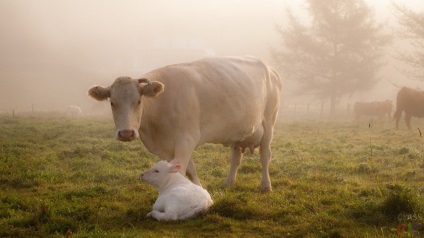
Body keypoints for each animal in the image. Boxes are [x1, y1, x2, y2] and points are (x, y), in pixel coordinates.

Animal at [88, 56, 284, 192]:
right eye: (112, 102)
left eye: (139, 101)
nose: (126, 133)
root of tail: (270, 68)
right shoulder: (169, 148)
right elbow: (191, 170)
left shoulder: (186, 140)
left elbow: (181, 172)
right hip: (238, 130)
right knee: (236, 158)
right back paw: (229, 182)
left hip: (270, 122)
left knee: (265, 155)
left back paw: (266, 185)